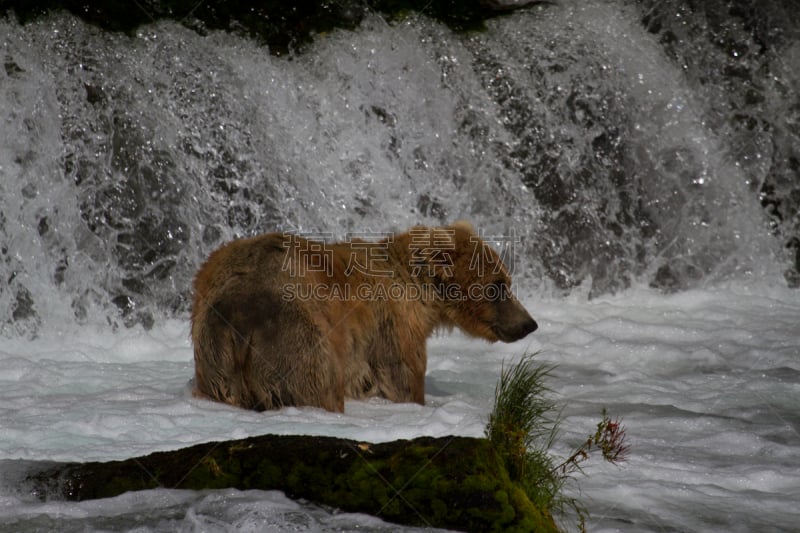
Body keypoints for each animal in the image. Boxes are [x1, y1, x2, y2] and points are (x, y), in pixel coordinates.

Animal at [190, 220, 536, 412]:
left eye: (506, 281)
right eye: (498, 285)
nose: (528, 323)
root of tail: (240, 316)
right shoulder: (391, 328)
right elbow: (401, 380)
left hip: (213, 356)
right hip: (293, 336)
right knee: (316, 383)